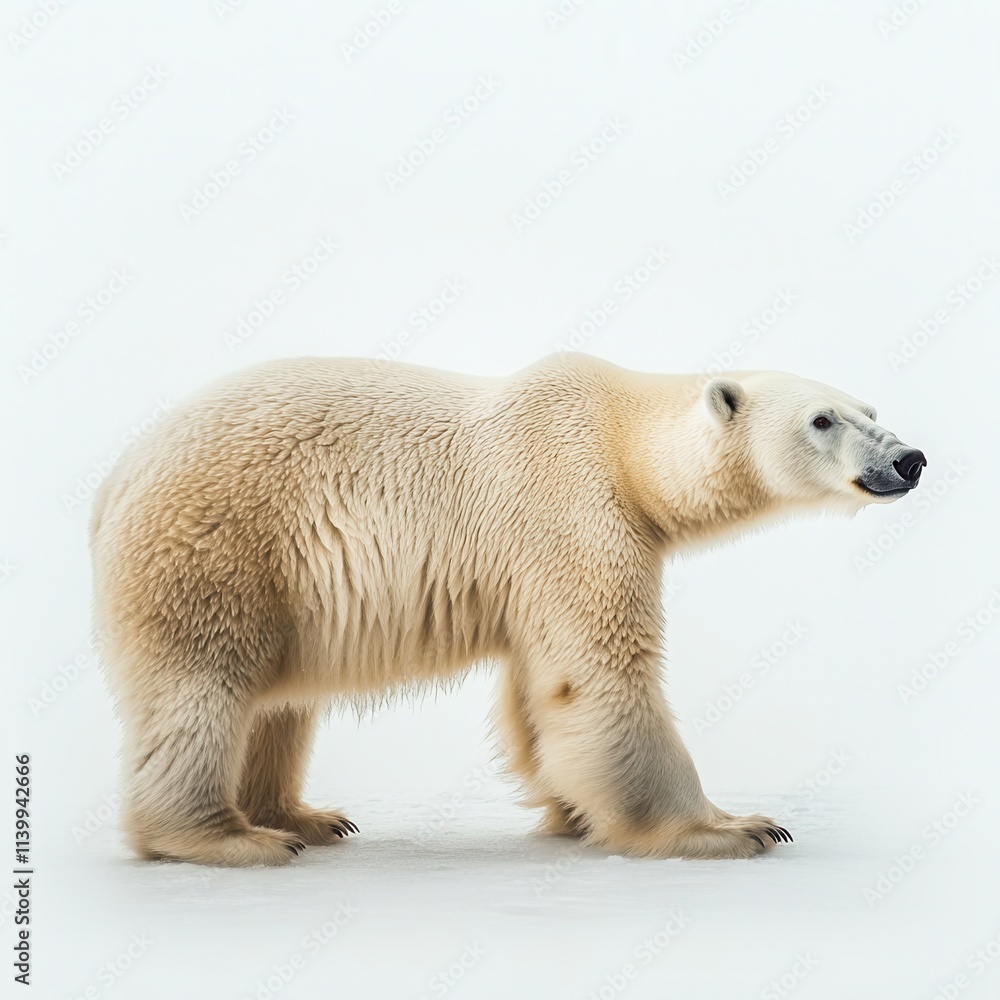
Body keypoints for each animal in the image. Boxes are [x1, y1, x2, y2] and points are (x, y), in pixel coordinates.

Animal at [89, 353, 926, 866]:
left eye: (870, 407)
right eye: (822, 419)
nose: (909, 458)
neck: (621, 437)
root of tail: (116, 479)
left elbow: (538, 686)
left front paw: (573, 813)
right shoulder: (571, 506)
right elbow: (601, 674)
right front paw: (728, 827)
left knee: (276, 703)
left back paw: (302, 817)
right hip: (222, 545)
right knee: (203, 687)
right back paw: (229, 838)